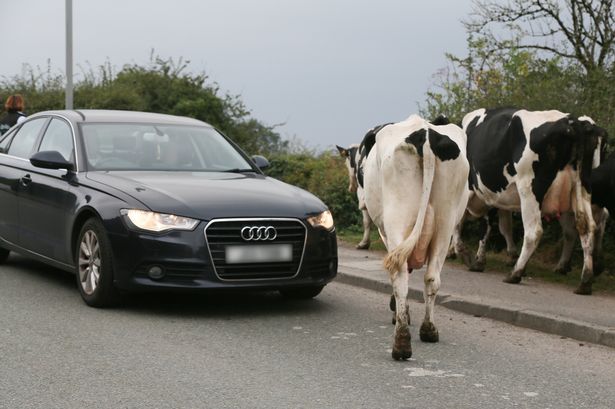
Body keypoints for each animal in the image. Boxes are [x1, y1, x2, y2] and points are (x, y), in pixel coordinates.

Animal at [364, 114, 470, 356]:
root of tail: (426, 135)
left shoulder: (385, 232)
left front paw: (398, 311)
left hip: (396, 217)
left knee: (399, 274)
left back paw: (401, 341)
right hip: (445, 220)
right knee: (431, 277)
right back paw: (428, 330)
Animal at [458, 108, 608, 294]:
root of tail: (572, 123)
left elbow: (458, 222)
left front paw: (462, 253)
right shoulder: (491, 196)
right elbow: (491, 227)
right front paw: (478, 260)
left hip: (530, 188)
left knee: (534, 232)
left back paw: (516, 272)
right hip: (582, 187)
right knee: (586, 227)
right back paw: (585, 280)